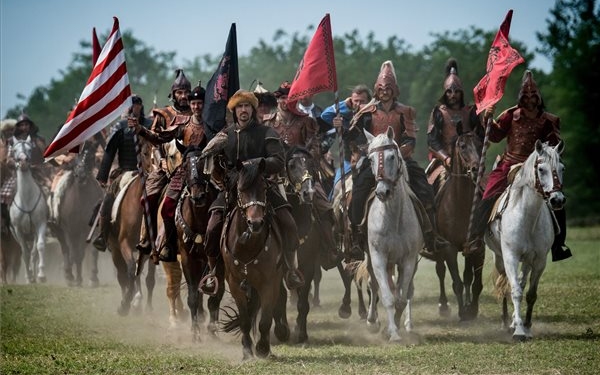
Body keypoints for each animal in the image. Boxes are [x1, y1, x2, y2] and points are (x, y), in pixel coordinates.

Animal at [7, 137, 49, 284]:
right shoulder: (18, 229)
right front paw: (29, 276)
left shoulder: (40, 224)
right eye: (14, 150)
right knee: (25, 251)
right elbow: (24, 252)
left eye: (30, 149)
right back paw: (29, 275)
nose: (23, 161)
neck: (26, 200)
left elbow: (40, 247)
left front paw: (41, 275)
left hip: (32, 234)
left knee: (34, 252)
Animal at [52, 141, 103, 288]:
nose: (81, 175)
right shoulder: (71, 230)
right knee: (65, 249)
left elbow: (83, 253)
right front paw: (76, 279)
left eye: (91, 157)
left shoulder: (86, 230)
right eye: (75, 158)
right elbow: (74, 253)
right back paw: (69, 275)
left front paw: (85, 279)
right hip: (59, 230)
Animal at [221, 159, 290, 362]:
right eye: (241, 189)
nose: (256, 223)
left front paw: (262, 348)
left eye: (264, 188)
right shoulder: (235, 283)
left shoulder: (269, 282)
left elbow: (265, 319)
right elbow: (245, 320)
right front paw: (247, 351)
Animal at [360, 128, 422, 342]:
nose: (382, 192)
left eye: (392, 156)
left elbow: (401, 299)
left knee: (405, 290)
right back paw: (372, 321)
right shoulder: (378, 256)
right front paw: (393, 333)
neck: (393, 218)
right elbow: (387, 297)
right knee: (374, 284)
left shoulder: (409, 259)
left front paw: (393, 327)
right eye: (370, 159)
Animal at [486, 140, 564, 342]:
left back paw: (514, 320)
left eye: (562, 168)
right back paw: (506, 321)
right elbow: (514, 290)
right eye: (541, 169)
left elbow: (530, 293)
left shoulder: (539, 261)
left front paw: (526, 326)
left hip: (527, 261)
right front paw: (519, 331)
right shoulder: (510, 257)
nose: (557, 200)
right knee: (504, 285)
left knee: (521, 281)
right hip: (499, 258)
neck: (527, 216)